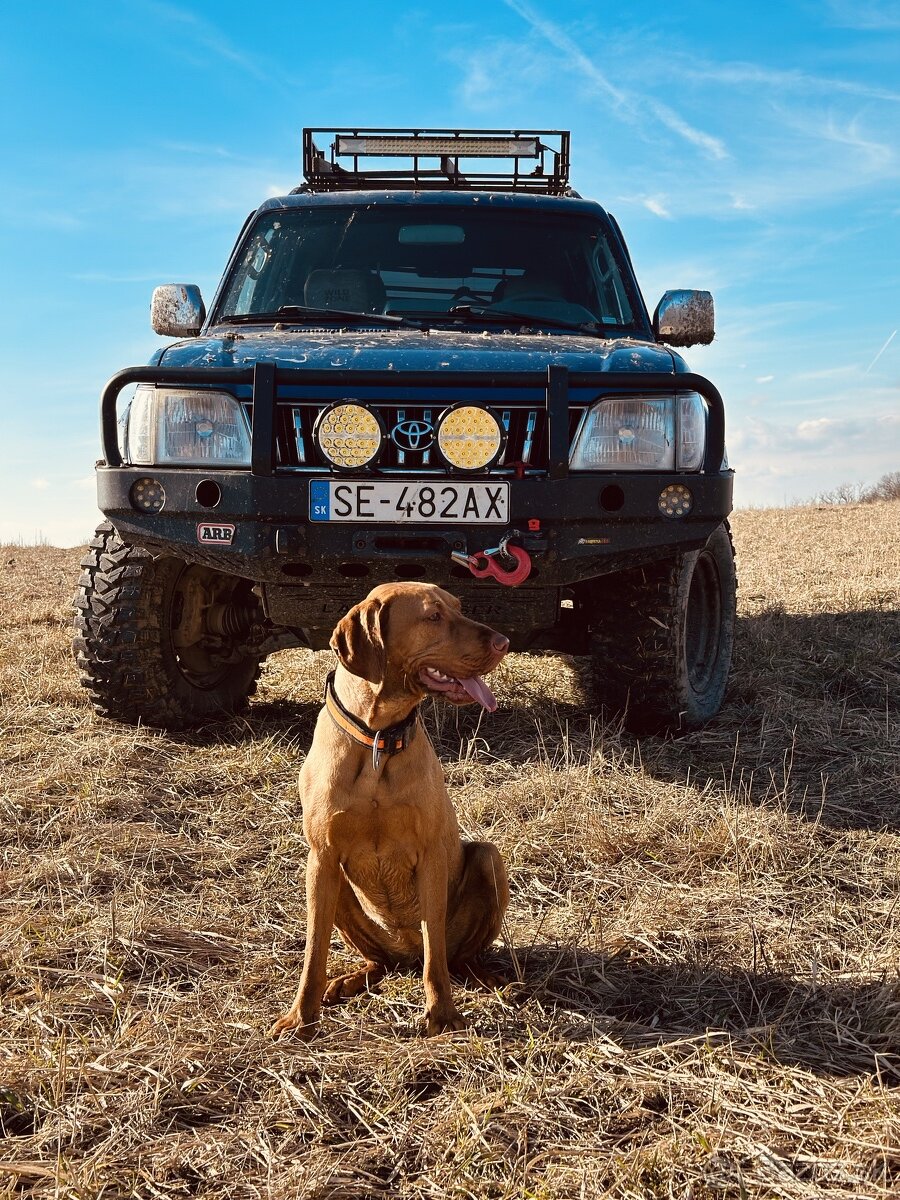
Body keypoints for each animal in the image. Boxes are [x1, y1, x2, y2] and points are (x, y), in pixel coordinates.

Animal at [267, 583, 511, 1041]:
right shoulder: (321, 858)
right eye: (433, 616)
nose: (504, 642)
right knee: (379, 962)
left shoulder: (430, 855)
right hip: (339, 891)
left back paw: (489, 978)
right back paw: (347, 981)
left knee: (450, 958)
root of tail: (404, 957)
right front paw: (300, 1017)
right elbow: (313, 951)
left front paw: (442, 1015)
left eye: (459, 608)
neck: (378, 737)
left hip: (490, 859)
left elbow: (436, 953)